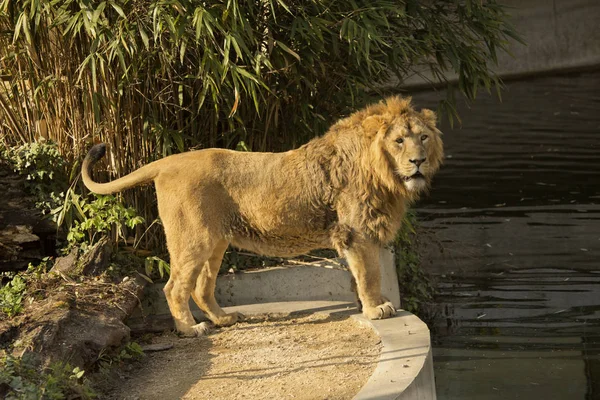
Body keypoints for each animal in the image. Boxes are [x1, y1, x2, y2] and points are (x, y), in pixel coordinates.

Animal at [82, 95, 442, 336]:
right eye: (399, 141)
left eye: (423, 137)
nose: (418, 161)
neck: (385, 175)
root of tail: (166, 161)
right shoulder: (357, 232)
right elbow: (370, 274)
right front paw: (376, 309)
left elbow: (365, 274)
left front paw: (372, 304)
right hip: (193, 239)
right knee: (174, 288)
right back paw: (190, 329)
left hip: (216, 242)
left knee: (200, 287)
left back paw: (223, 319)